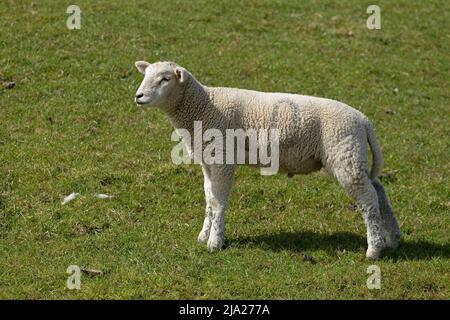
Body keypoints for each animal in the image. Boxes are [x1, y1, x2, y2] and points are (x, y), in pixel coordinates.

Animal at [134, 60, 400, 260]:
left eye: (165, 79)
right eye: (145, 75)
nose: (138, 96)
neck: (202, 107)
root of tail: (363, 120)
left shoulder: (223, 159)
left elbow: (218, 202)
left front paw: (215, 242)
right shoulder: (208, 161)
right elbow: (209, 200)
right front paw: (204, 235)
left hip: (343, 154)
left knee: (368, 199)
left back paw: (374, 249)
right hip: (352, 157)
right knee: (379, 191)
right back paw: (393, 238)